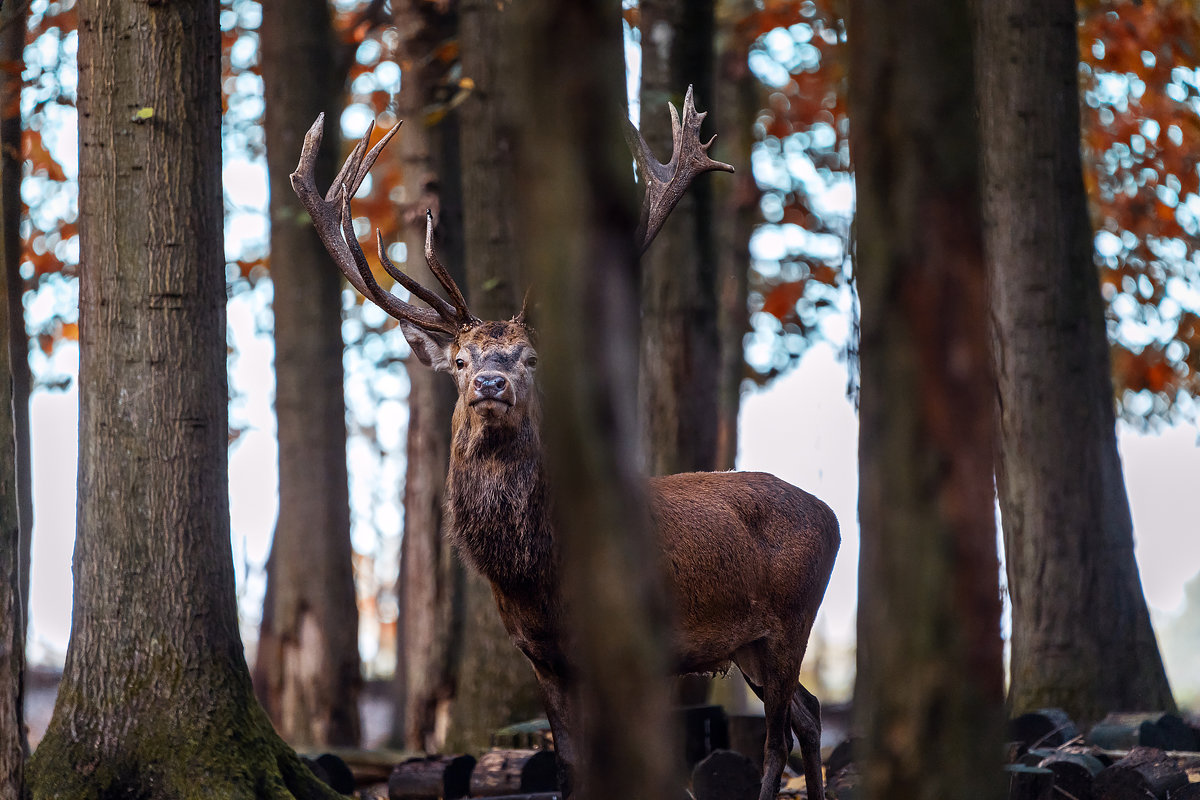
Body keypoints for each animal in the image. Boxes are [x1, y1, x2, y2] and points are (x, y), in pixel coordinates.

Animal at [291, 87, 840, 800]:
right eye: (462, 360)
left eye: (529, 359)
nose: (491, 382)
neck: (536, 575)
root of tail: (834, 517)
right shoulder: (541, 656)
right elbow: (571, 766)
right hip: (749, 643)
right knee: (809, 711)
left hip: (791, 619)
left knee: (778, 732)